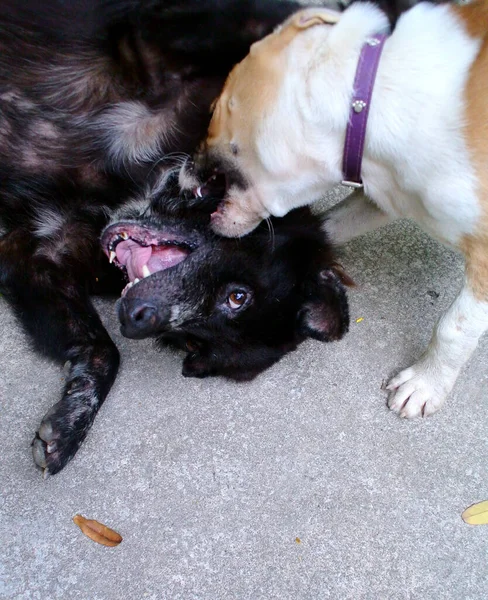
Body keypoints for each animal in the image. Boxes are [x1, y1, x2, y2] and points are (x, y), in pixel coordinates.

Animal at [0, 0, 350, 478]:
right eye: (237, 298)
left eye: (190, 342)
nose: (135, 321)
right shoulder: (158, 33)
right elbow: (268, 28)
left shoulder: (40, 252)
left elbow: (102, 350)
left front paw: (68, 424)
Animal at [186, 0, 488, 418]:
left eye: (215, 108)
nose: (185, 162)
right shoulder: (387, 194)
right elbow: (321, 229)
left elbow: (456, 327)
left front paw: (426, 384)